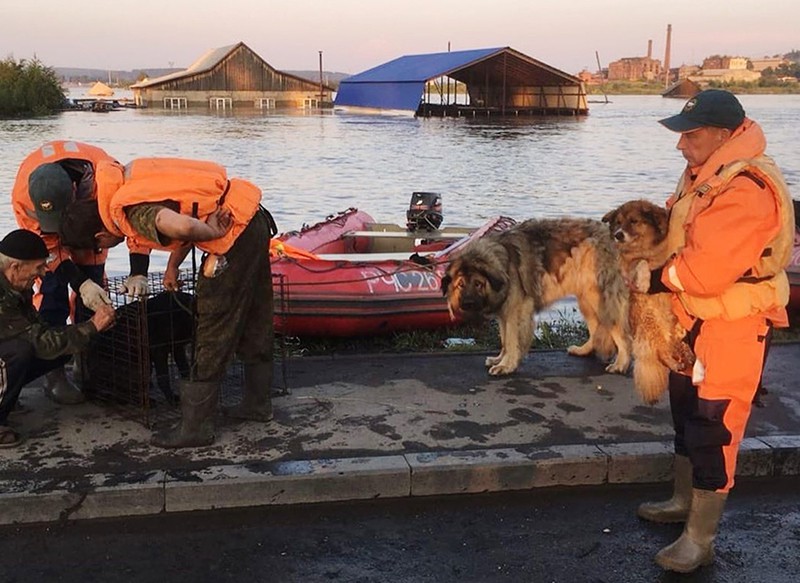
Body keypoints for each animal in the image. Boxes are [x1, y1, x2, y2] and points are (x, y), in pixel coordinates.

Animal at [438, 217, 632, 376]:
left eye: (478, 284)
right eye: (460, 285)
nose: (467, 303)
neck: (504, 261)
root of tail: (613, 237)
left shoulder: (516, 310)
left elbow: (511, 339)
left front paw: (506, 365)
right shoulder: (505, 312)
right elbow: (504, 339)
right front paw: (500, 359)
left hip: (601, 297)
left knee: (621, 334)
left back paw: (621, 364)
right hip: (587, 299)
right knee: (596, 326)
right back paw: (584, 350)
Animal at [600, 198, 692, 404]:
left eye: (634, 221)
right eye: (618, 222)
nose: (618, 235)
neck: (645, 248)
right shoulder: (628, 265)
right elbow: (640, 263)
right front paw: (643, 280)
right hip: (650, 323)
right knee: (661, 352)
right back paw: (676, 362)